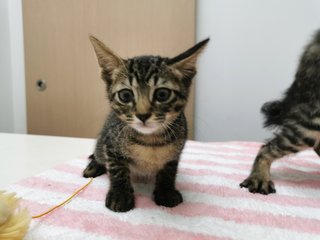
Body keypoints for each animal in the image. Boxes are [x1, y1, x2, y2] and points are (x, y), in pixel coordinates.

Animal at [82, 36, 209, 212]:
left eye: (162, 94)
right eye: (125, 95)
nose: (143, 115)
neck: (150, 140)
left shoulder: (175, 153)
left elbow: (169, 171)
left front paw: (166, 192)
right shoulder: (111, 145)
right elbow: (117, 170)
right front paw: (120, 195)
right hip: (103, 141)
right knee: (99, 153)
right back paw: (94, 165)